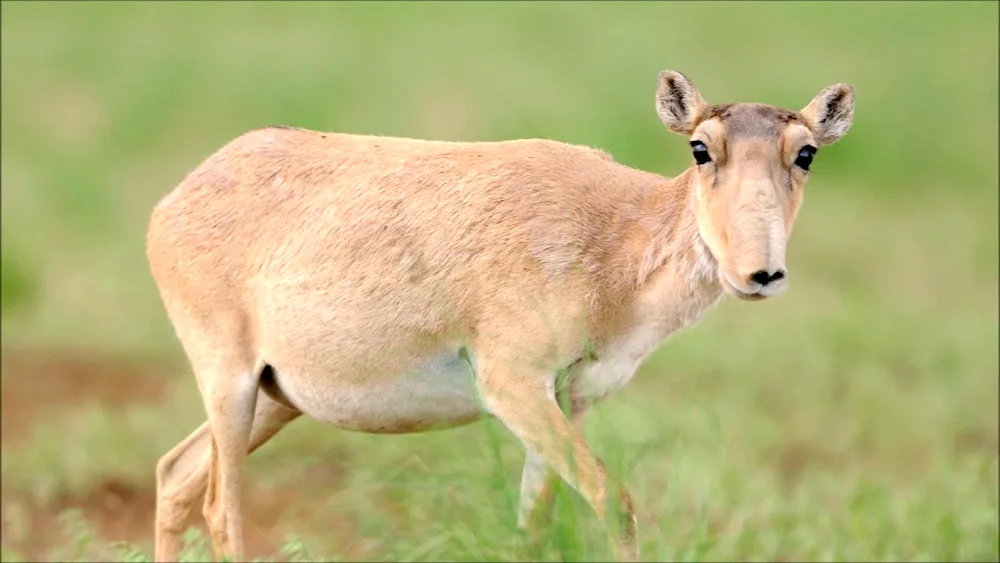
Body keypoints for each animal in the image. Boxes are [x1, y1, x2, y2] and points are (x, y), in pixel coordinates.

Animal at [146, 71, 852, 563]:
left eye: (806, 152)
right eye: (702, 148)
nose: (760, 274)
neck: (612, 234)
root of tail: (172, 201)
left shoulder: (567, 401)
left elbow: (534, 524)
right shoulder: (513, 386)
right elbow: (615, 502)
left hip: (277, 399)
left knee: (175, 473)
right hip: (229, 381)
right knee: (220, 507)